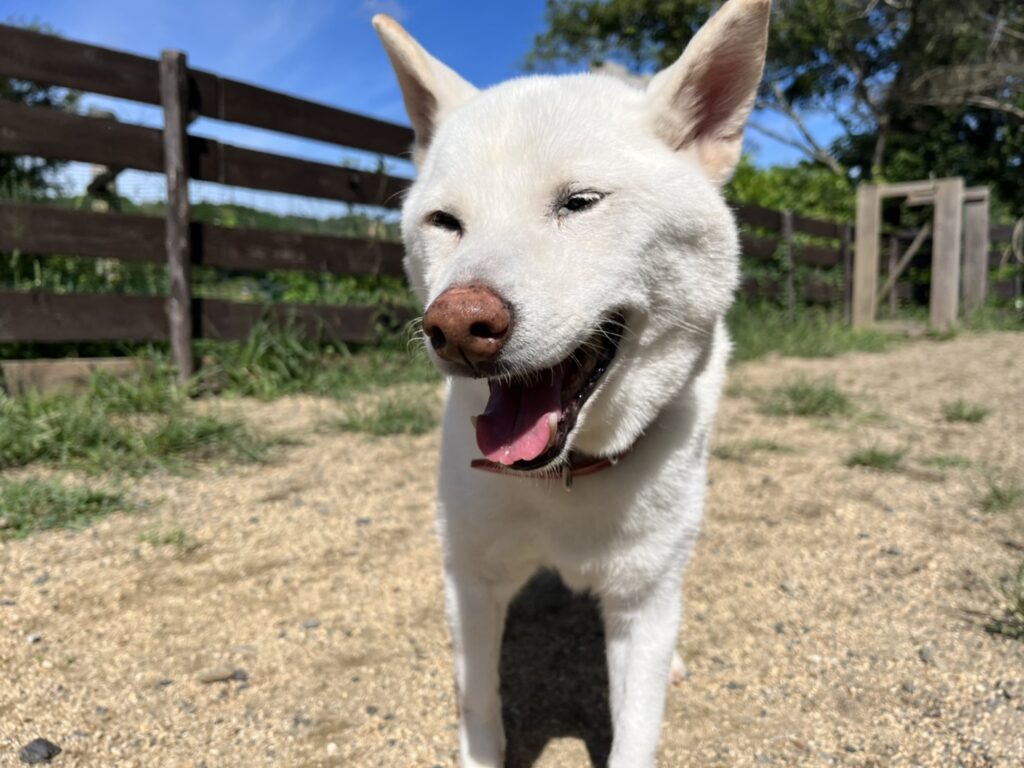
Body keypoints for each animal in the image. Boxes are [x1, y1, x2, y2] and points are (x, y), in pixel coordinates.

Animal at [373, 1, 769, 764]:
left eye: (579, 202)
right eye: (445, 222)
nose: (458, 325)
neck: (564, 479)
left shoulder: (643, 602)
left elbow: (637, 730)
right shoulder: (471, 581)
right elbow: (479, 709)